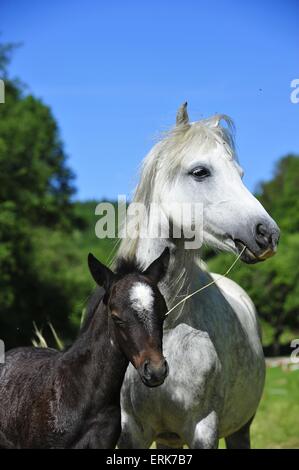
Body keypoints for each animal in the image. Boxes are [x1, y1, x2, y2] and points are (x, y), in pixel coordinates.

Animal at [118, 103, 282, 448]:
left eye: (241, 175)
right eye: (200, 172)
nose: (268, 234)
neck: (166, 330)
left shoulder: (204, 428)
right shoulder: (131, 429)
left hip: (240, 429)